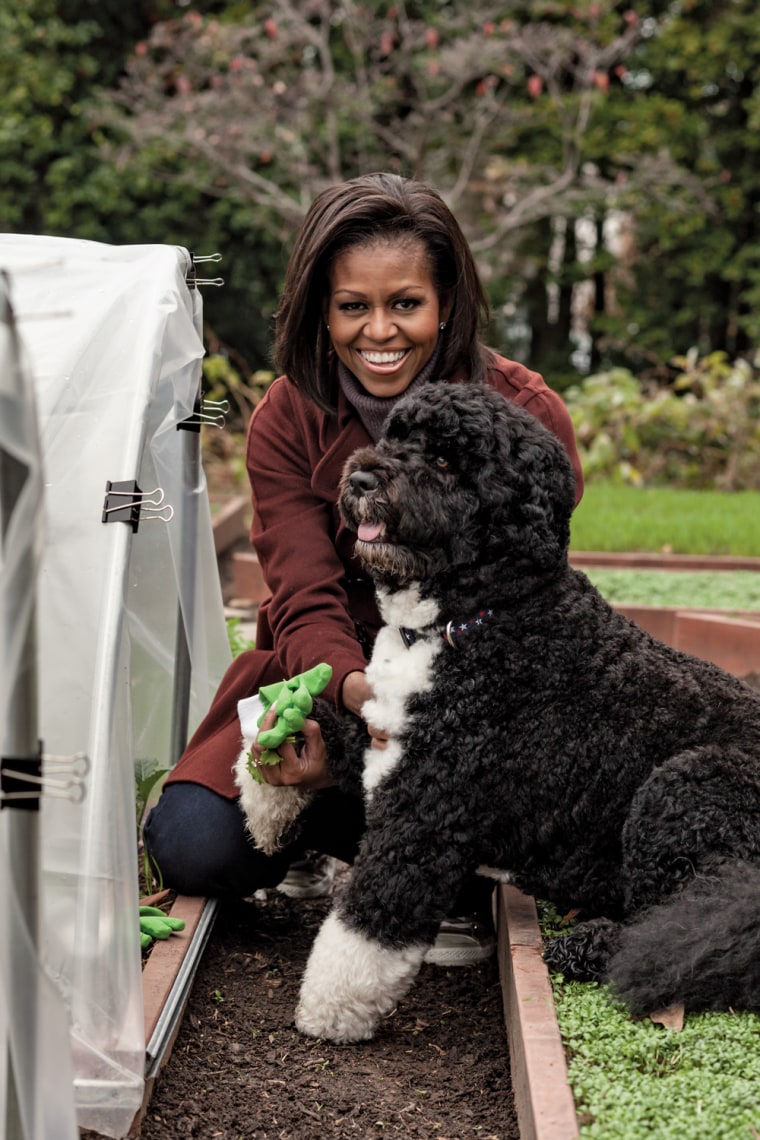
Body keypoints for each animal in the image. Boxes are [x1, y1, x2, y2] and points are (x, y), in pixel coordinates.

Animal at [234, 383, 760, 1044]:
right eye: (397, 435)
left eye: (445, 461)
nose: (359, 478)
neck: (477, 619)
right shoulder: (386, 741)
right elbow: (319, 726)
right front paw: (269, 790)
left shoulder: (423, 817)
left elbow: (371, 919)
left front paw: (328, 1013)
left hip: (688, 786)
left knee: (690, 922)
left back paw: (595, 945)